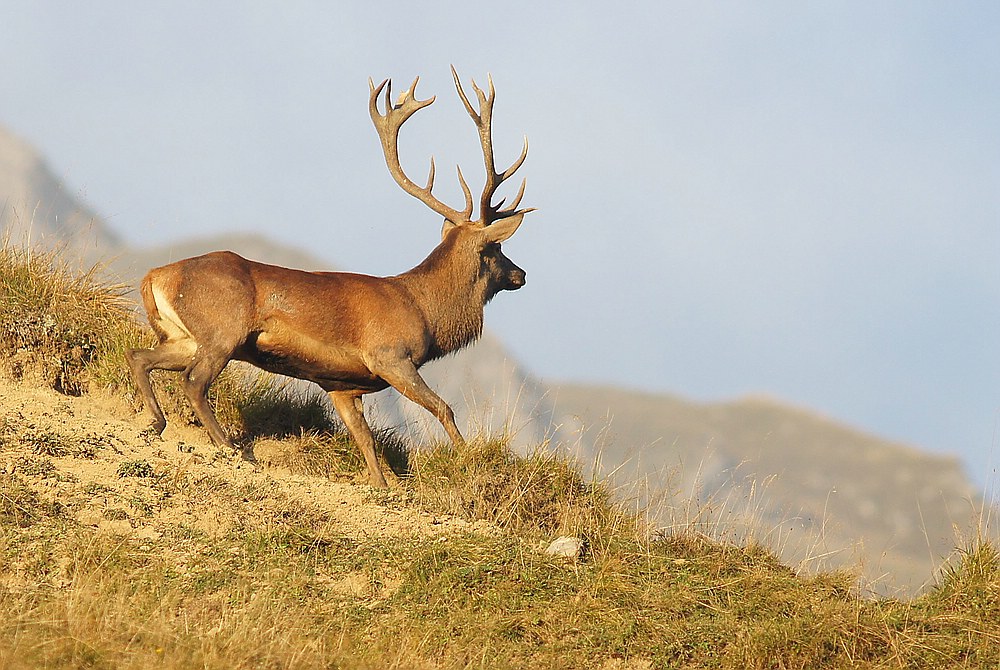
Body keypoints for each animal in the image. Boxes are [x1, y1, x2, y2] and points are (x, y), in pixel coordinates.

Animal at [126, 68, 536, 488]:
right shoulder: (391, 356)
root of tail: (154, 277)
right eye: (497, 248)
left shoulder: (342, 385)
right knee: (193, 382)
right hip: (223, 331)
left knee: (139, 356)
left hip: (183, 336)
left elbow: (365, 440)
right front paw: (469, 460)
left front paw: (380, 484)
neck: (426, 312)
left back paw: (155, 423)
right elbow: (444, 409)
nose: (521, 274)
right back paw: (231, 449)